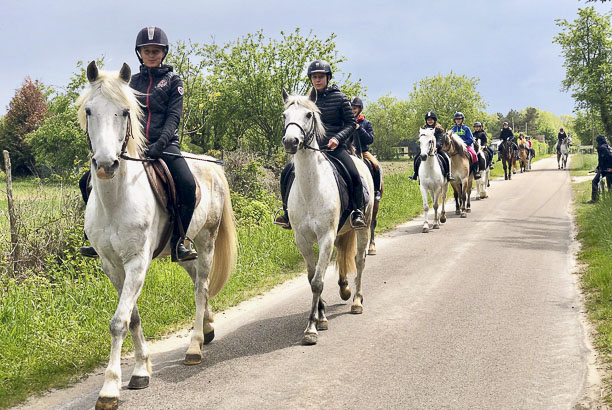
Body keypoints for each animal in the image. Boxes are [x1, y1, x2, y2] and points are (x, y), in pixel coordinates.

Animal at [76, 61, 237, 410]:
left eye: (125, 111)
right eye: (89, 110)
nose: (106, 165)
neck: (116, 198)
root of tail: (212, 166)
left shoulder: (137, 262)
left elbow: (119, 322)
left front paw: (110, 388)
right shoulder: (111, 265)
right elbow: (132, 318)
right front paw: (140, 369)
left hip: (206, 241)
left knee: (201, 289)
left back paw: (194, 346)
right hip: (182, 251)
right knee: (195, 279)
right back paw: (208, 329)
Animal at [280, 89, 372, 346]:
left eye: (309, 114)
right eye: (284, 115)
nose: (291, 142)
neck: (311, 189)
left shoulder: (326, 237)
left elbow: (318, 281)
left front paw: (311, 328)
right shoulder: (302, 240)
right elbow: (312, 278)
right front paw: (320, 317)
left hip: (363, 227)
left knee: (359, 260)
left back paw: (357, 301)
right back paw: (345, 290)